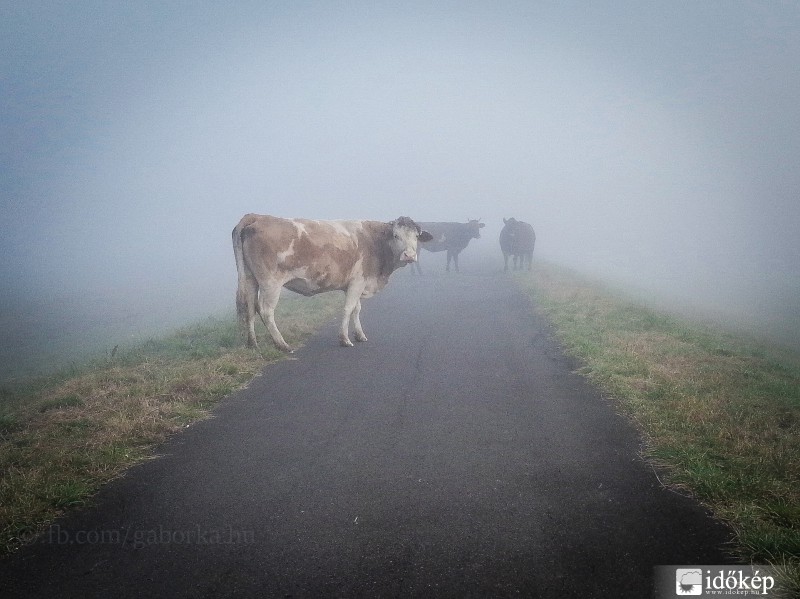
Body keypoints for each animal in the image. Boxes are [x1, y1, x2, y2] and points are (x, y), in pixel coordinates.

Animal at [231, 214, 432, 352]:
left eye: (416, 236)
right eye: (396, 235)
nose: (409, 255)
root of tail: (258, 216)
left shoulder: (353, 284)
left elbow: (356, 309)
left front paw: (359, 335)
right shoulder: (358, 281)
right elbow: (348, 309)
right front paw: (344, 339)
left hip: (250, 278)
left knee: (250, 308)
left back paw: (253, 344)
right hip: (271, 283)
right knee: (266, 311)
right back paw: (282, 344)